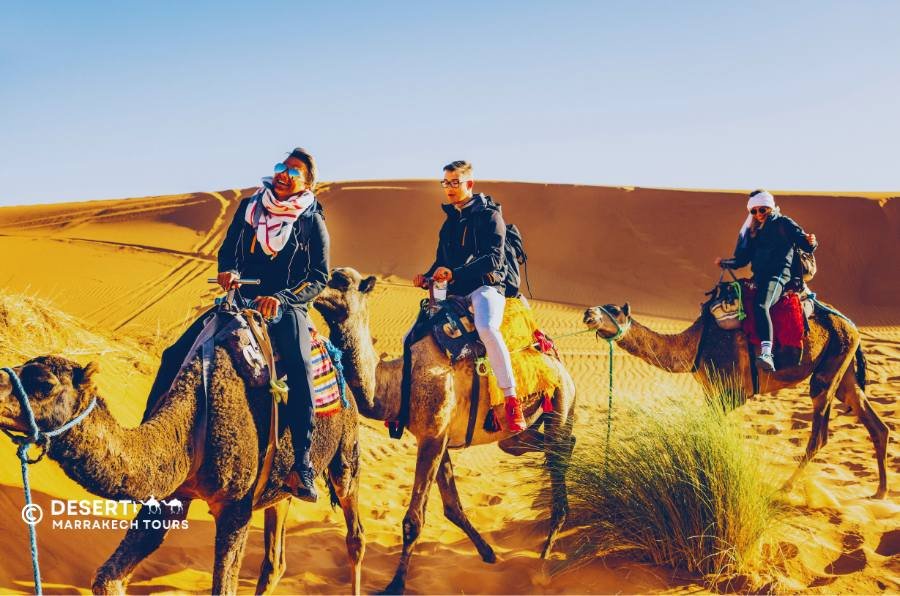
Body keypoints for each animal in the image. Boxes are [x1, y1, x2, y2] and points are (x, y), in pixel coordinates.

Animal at [1, 342, 366, 592]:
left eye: (45, 384)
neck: (193, 425)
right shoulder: (168, 498)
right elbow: (107, 579)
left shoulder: (236, 505)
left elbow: (224, 587)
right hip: (280, 486)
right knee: (275, 558)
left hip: (345, 449)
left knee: (353, 524)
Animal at [304, 268, 576, 592]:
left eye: (341, 281)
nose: (311, 288)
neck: (398, 381)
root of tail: (554, 355)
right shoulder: (439, 438)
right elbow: (452, 506)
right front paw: (488, 553)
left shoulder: (432, 437)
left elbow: (414, 519)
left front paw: (396, 585)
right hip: (524, 427)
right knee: (532, 444)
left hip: (560, 398)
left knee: (556, 458)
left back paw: (545, 557)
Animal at [580, 302, 888, 498]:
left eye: (614, 310)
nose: (588, 313)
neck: (694, 345)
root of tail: (854, 328)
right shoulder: (710, 392)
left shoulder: (733, 393)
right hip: (845, 370)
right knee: (875, 423)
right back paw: (880, 492)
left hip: (828, 370)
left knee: (819, 434)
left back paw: (785, 488)